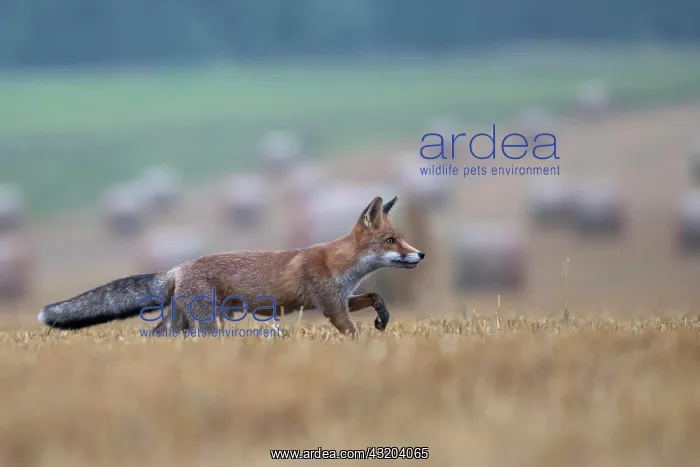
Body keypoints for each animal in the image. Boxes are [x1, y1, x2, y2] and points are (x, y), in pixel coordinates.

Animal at [37, 195, 425, 337]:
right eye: (391, 241)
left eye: (401, 238)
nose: (421, 254)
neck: (341, 264)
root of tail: (178, 267)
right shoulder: (331, 306)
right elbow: (352, 333)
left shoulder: (342, 298)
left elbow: (375, 296)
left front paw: (383, 318)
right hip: (206, 322)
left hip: (180, 321)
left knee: (155, 335)